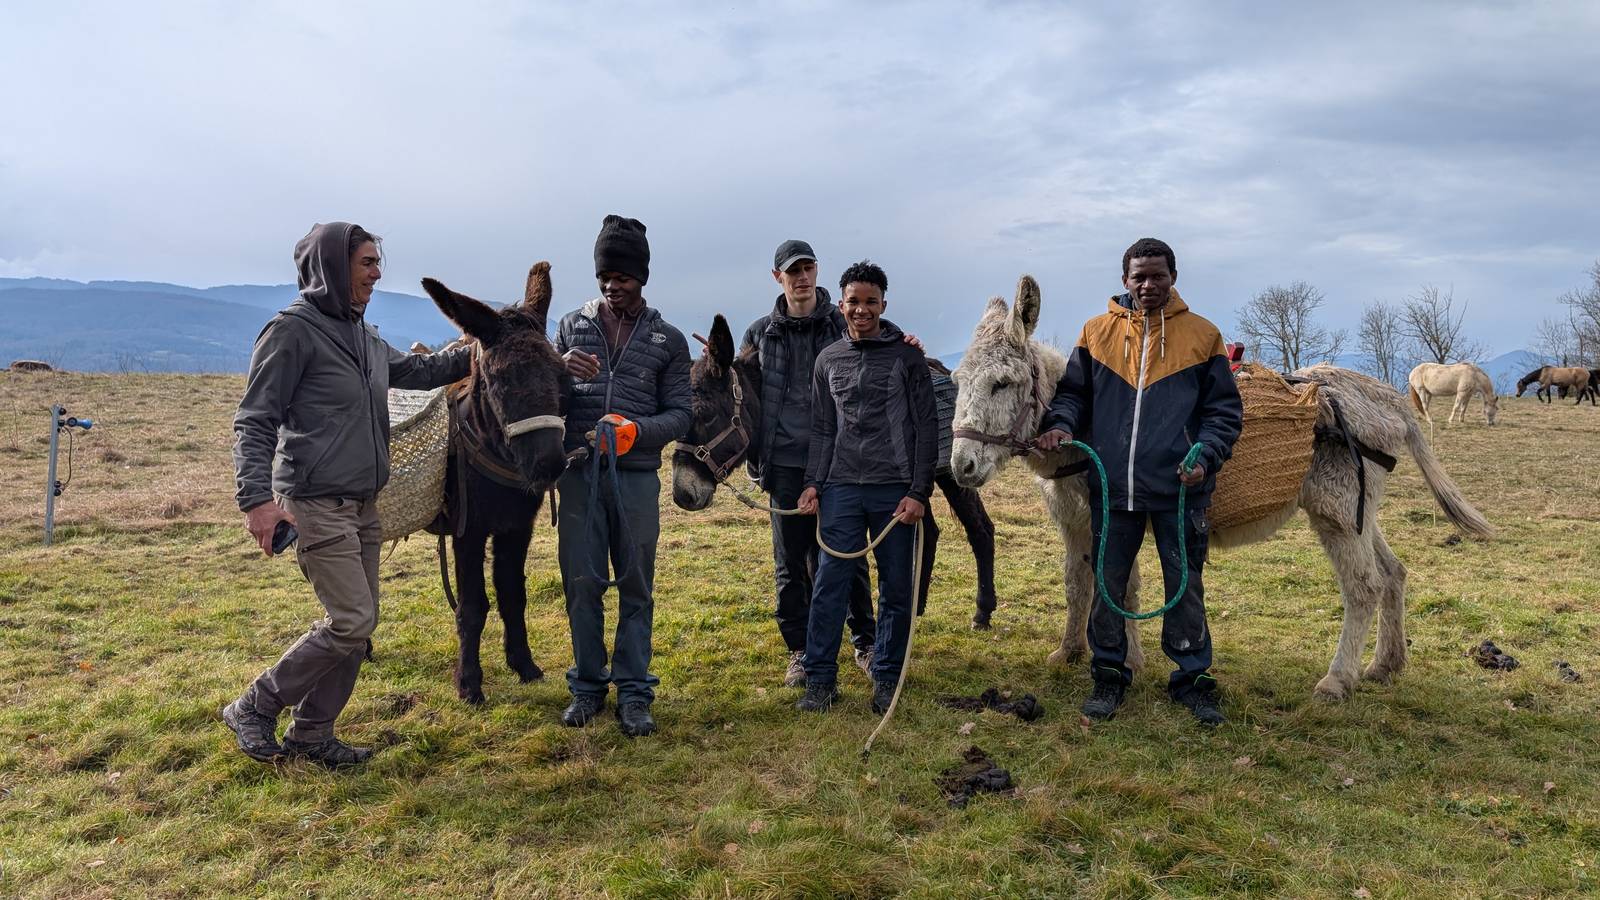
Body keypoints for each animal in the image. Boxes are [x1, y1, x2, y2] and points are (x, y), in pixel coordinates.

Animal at [418, 264, 571, 704]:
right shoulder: (467, 531)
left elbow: (512, 595)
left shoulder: (517, 528)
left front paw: (524, 665)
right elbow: (472, 606)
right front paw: (469, 683)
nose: (549, 465)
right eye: (498, 379)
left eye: (561, 373)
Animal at [670, 313, 1000, 628]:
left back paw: (981, 612)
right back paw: (915, 607)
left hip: (952, 472)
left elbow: (820, 565)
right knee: (928, 532)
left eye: (706, 415)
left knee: (979, 528)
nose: (681, 495)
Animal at [949, 276, 1494, 701]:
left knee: (1364, 586)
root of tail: (1387, 398)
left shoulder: (1115, 517)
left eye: (1002, 383)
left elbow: (1121, 585)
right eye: (957, 379)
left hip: (1335, 510)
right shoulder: (1075, 524)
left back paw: (1338, 680)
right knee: (1394, 573)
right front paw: (1068, 650)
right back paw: (1386, 665)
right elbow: (1078, 583)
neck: (1085, 431)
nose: (962, 465)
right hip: (1360, 509)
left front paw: (1129, 662)